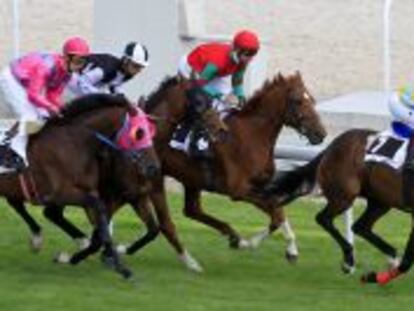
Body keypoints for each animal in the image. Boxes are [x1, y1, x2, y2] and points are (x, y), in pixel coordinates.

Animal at [0, 93, 159, 280]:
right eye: (139, 132)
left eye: (152, 129)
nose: (153, 167)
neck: (72, 144)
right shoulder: (59, 194)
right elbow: (99, 217)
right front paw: (121, 268)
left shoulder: (100, 192)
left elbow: (103, 223)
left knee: (18, 204)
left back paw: (39, 238)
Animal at [133, 70, 326, 270]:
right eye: (298, 101)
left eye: (312, 99)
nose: (321, 133)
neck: (252, 135)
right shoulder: (239, 190)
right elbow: (276, 212)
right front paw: (269, 246)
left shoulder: (260, 187)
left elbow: (277, 213)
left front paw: (269, 245)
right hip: (156, 177)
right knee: (169, 221)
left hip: (191, 178)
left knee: (192, 210)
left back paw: (232, 237)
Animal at [262, 129, 414, 286]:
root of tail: (334, 144)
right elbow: (407, 261)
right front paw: (372, 276)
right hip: (344, 195)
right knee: (324, 218)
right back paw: (349, 260)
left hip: (380, 201)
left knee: (360, 226)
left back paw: (391, 258)